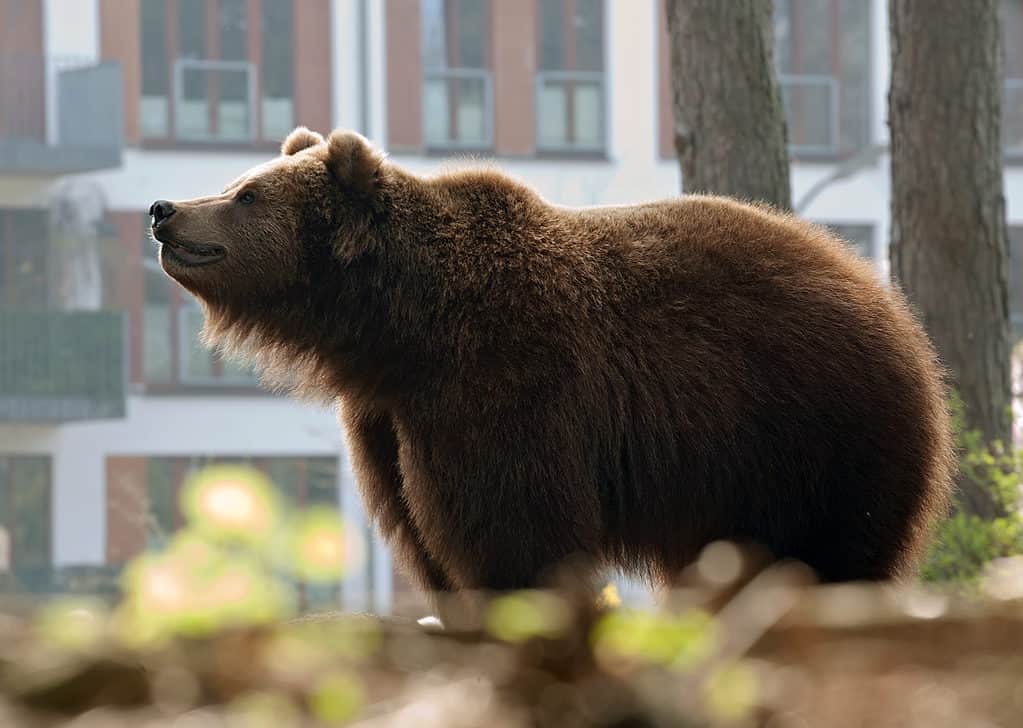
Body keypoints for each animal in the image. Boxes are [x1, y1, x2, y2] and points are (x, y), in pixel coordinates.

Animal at [151, 127, 957, 605]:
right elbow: (418, 523)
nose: (164, 209)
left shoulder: (503, 378)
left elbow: (511, 520)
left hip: (809, 427)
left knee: (830, 546)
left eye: (246, 193)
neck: (400, 325)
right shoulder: (388, 415)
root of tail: (886, 300)